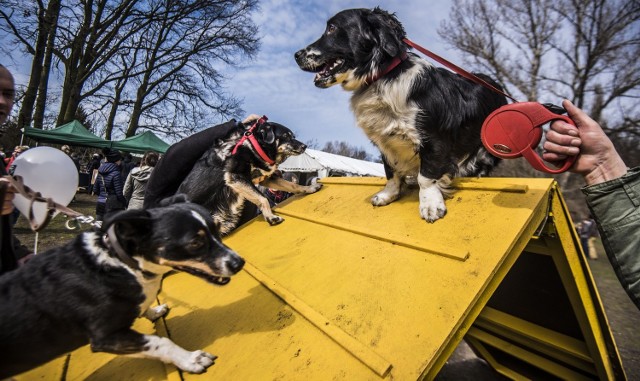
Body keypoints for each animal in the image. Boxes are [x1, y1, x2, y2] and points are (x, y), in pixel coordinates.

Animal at [0, 197, 245, 376]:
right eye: (195, 243)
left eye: (217, 229)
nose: (239, 263)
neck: (120, 262)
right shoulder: (106, 337)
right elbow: (160, 342)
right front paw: (191, 359)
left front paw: (152, 310)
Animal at [178, 118, 322, 235]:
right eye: (286, 136)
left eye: (293, 136)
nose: (304, 146)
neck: (253, 145)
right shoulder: (237, 177)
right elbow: (263, 198)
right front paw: (271, 217)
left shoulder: (266, 178)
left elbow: (292, 185)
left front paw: (309, 188)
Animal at [296, 7, 510, 221]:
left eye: (331, 28)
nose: (296, 55)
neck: (382, 77)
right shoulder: (385, 141)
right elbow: (391, 171)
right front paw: (387, 195)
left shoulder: (433, 139)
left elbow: (426, 177)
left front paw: (431, 205)